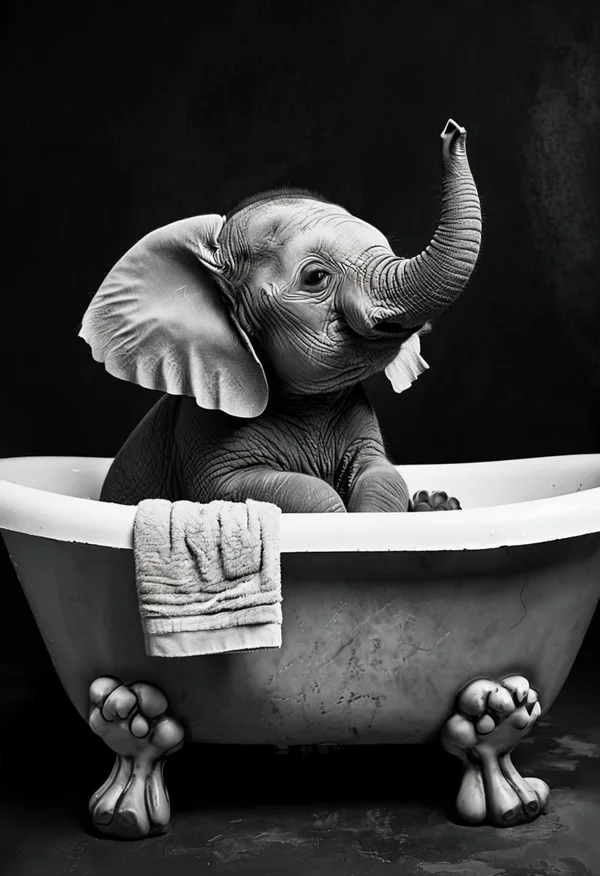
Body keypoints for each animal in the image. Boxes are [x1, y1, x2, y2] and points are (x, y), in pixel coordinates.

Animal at [80, 119, 482, 514]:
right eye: (315, 277)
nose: (452, 131)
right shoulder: (204, 440)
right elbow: (278, 492)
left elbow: (383, 475)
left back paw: (437, 505)